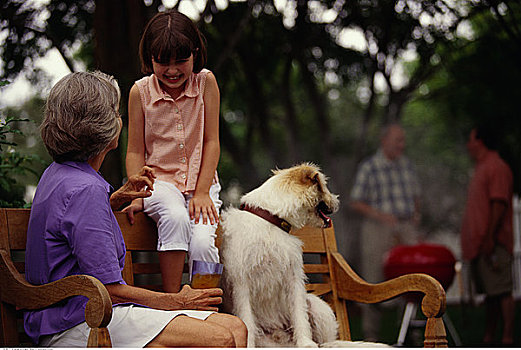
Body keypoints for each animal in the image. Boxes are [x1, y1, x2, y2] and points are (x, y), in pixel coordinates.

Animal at [217, 162, 340, 348]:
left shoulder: (293, 278)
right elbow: (247, 320)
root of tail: (281, 340)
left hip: (317, 306)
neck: (270, 220)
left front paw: (306, 343)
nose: (337, 201)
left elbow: (299, 313)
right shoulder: (241, 282)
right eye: (324, 186)